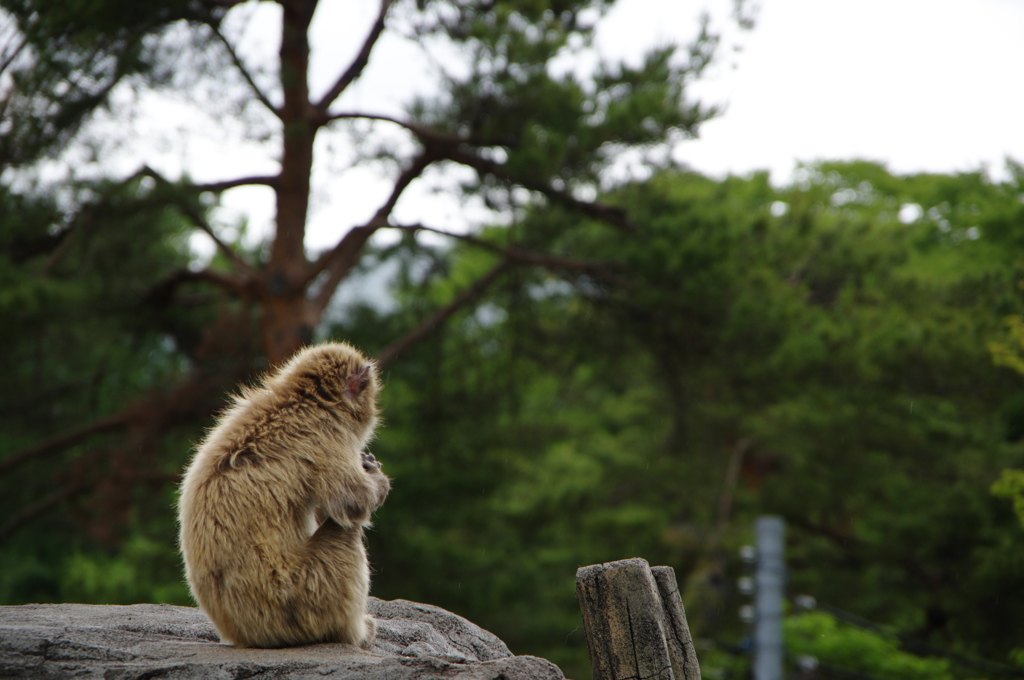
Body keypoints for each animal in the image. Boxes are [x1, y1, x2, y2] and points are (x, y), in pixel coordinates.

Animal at [178, 342, 389, 651]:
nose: (374, 411)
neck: (301, 399)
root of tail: (248, 637)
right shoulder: (329, 436)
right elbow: (352, 502)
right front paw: (377, 480)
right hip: (305, 598)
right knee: (346, 534)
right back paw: (354, 632)